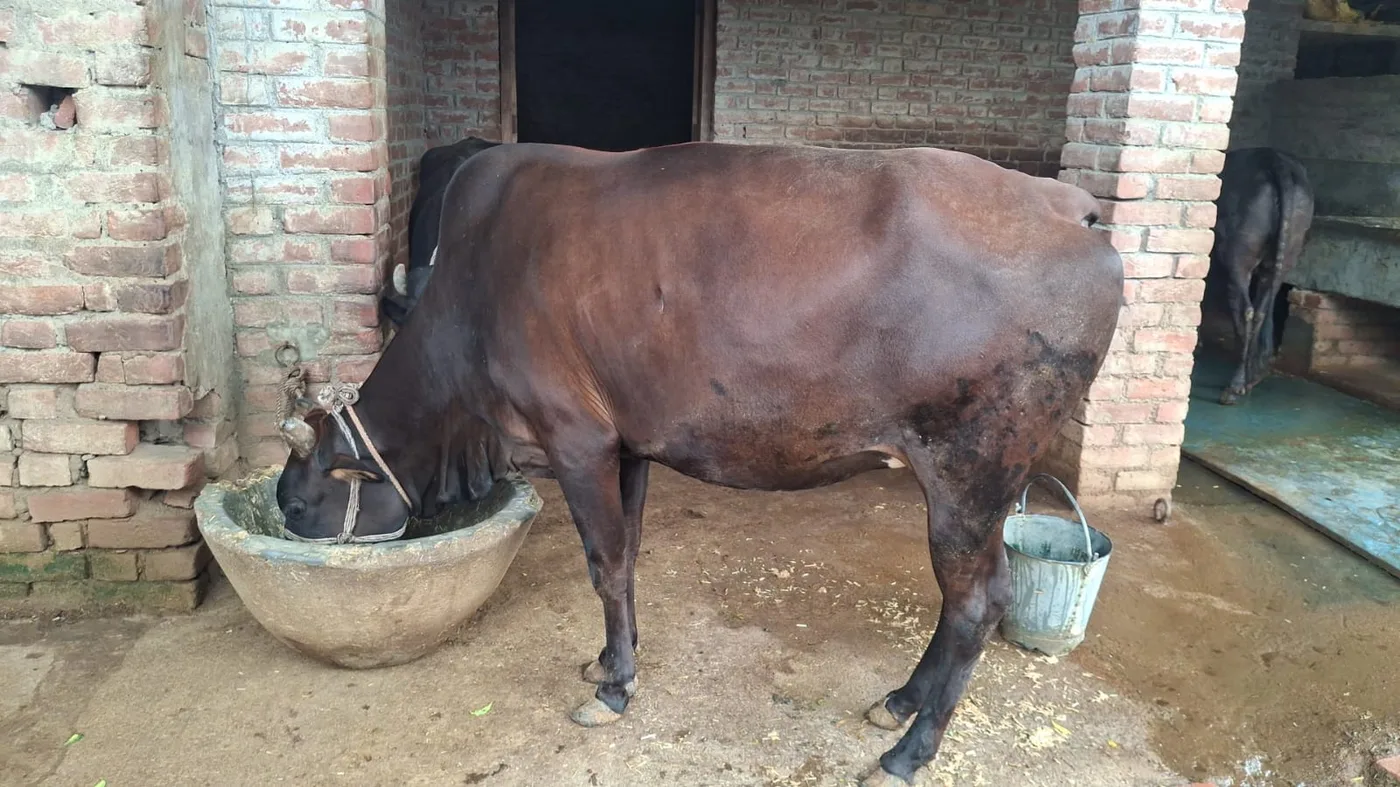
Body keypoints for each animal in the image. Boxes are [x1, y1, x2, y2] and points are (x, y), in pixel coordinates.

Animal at [1210, 147, 1315, 405]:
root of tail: (1277, 162)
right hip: (1288, 248)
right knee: (1262, 307)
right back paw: (1253, 374)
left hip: (1238, 253)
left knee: (1246, 310)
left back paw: (1235, 385)